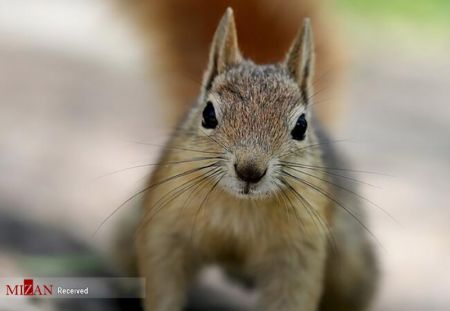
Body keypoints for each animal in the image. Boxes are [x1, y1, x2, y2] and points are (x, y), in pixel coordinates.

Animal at [134, 7, 380, 311]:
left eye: (301, 126)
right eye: (208, 114)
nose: (250, 170)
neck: (241, 208)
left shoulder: (298, 252)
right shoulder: (165, 229)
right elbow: (162, 281)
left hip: (350, 268)